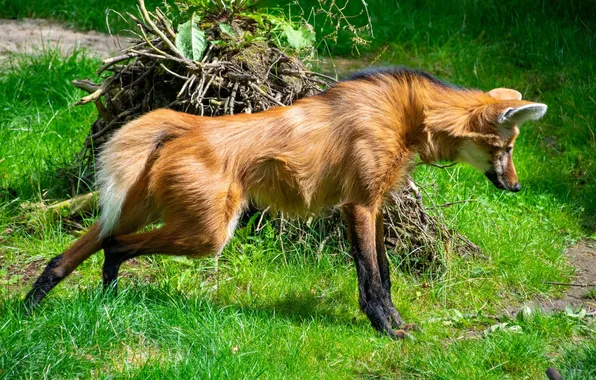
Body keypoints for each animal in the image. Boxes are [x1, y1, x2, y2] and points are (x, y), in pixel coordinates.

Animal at [25, 67, 548, 336]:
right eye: (506, 149)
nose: (517, 188)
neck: (407, 116)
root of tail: (187, 124)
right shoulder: (359, 205)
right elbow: (372, 278)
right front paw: (386, 327)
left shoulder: (373, 204)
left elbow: (383, 273)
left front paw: (396, 322)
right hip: (209, 232)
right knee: (117, 244)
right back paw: (100, 288)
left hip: (144, 206)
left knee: (82, 246)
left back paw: (40, 303)